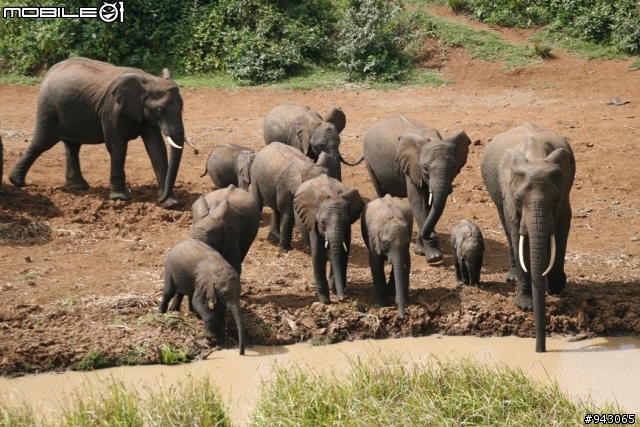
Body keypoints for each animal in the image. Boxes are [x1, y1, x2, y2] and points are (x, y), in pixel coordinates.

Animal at [8, 58, 188, 209]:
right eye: (159, 110)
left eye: (182, 108)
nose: (159, 200)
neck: (148, 80)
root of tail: (50, 71)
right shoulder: (113, 111)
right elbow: (117, 146)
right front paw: (120, 198)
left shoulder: (143, 113)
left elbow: (156, 148)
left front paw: (170, 203)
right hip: (49, 107)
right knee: (42, 142)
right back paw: (17, 182)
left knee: (73, 146)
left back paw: (78, 187)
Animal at [292, 174, 362, 304]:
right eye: (322, 223)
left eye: (345, 222)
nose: (341, 299)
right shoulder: (313, 222)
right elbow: (318, 254)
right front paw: (324, 300)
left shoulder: (347, 228)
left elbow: (343, 252)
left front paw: (335, 288)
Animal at [362, 117, 472, 264]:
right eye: (425, 168)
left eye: (453, 167)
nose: (432, 234)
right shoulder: (411, 167)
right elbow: (418, 205)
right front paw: (434, 257)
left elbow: (429, 206)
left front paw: (422, 251)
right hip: (369, 161)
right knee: (380, 190)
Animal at [480, 121, 576, 354]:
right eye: (517, 200)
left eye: (556, 199)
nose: (540, 350)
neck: (535, 156)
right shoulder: (508, 194)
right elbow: (517, 233)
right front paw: (525, 304)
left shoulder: (565, 192)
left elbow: (562, 227)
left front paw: (555, 286)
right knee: (506, 228)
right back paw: (513, 277)